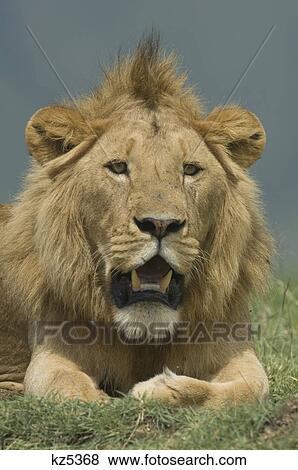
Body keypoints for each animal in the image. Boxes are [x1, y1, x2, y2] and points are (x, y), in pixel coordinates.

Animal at [0, 35, 272, 406]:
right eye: (118, 167)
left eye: (190, 170)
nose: (160, 224)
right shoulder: (51, 357)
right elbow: (69, 390)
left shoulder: (235, 350)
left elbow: (251, 389)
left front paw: (161, 388)